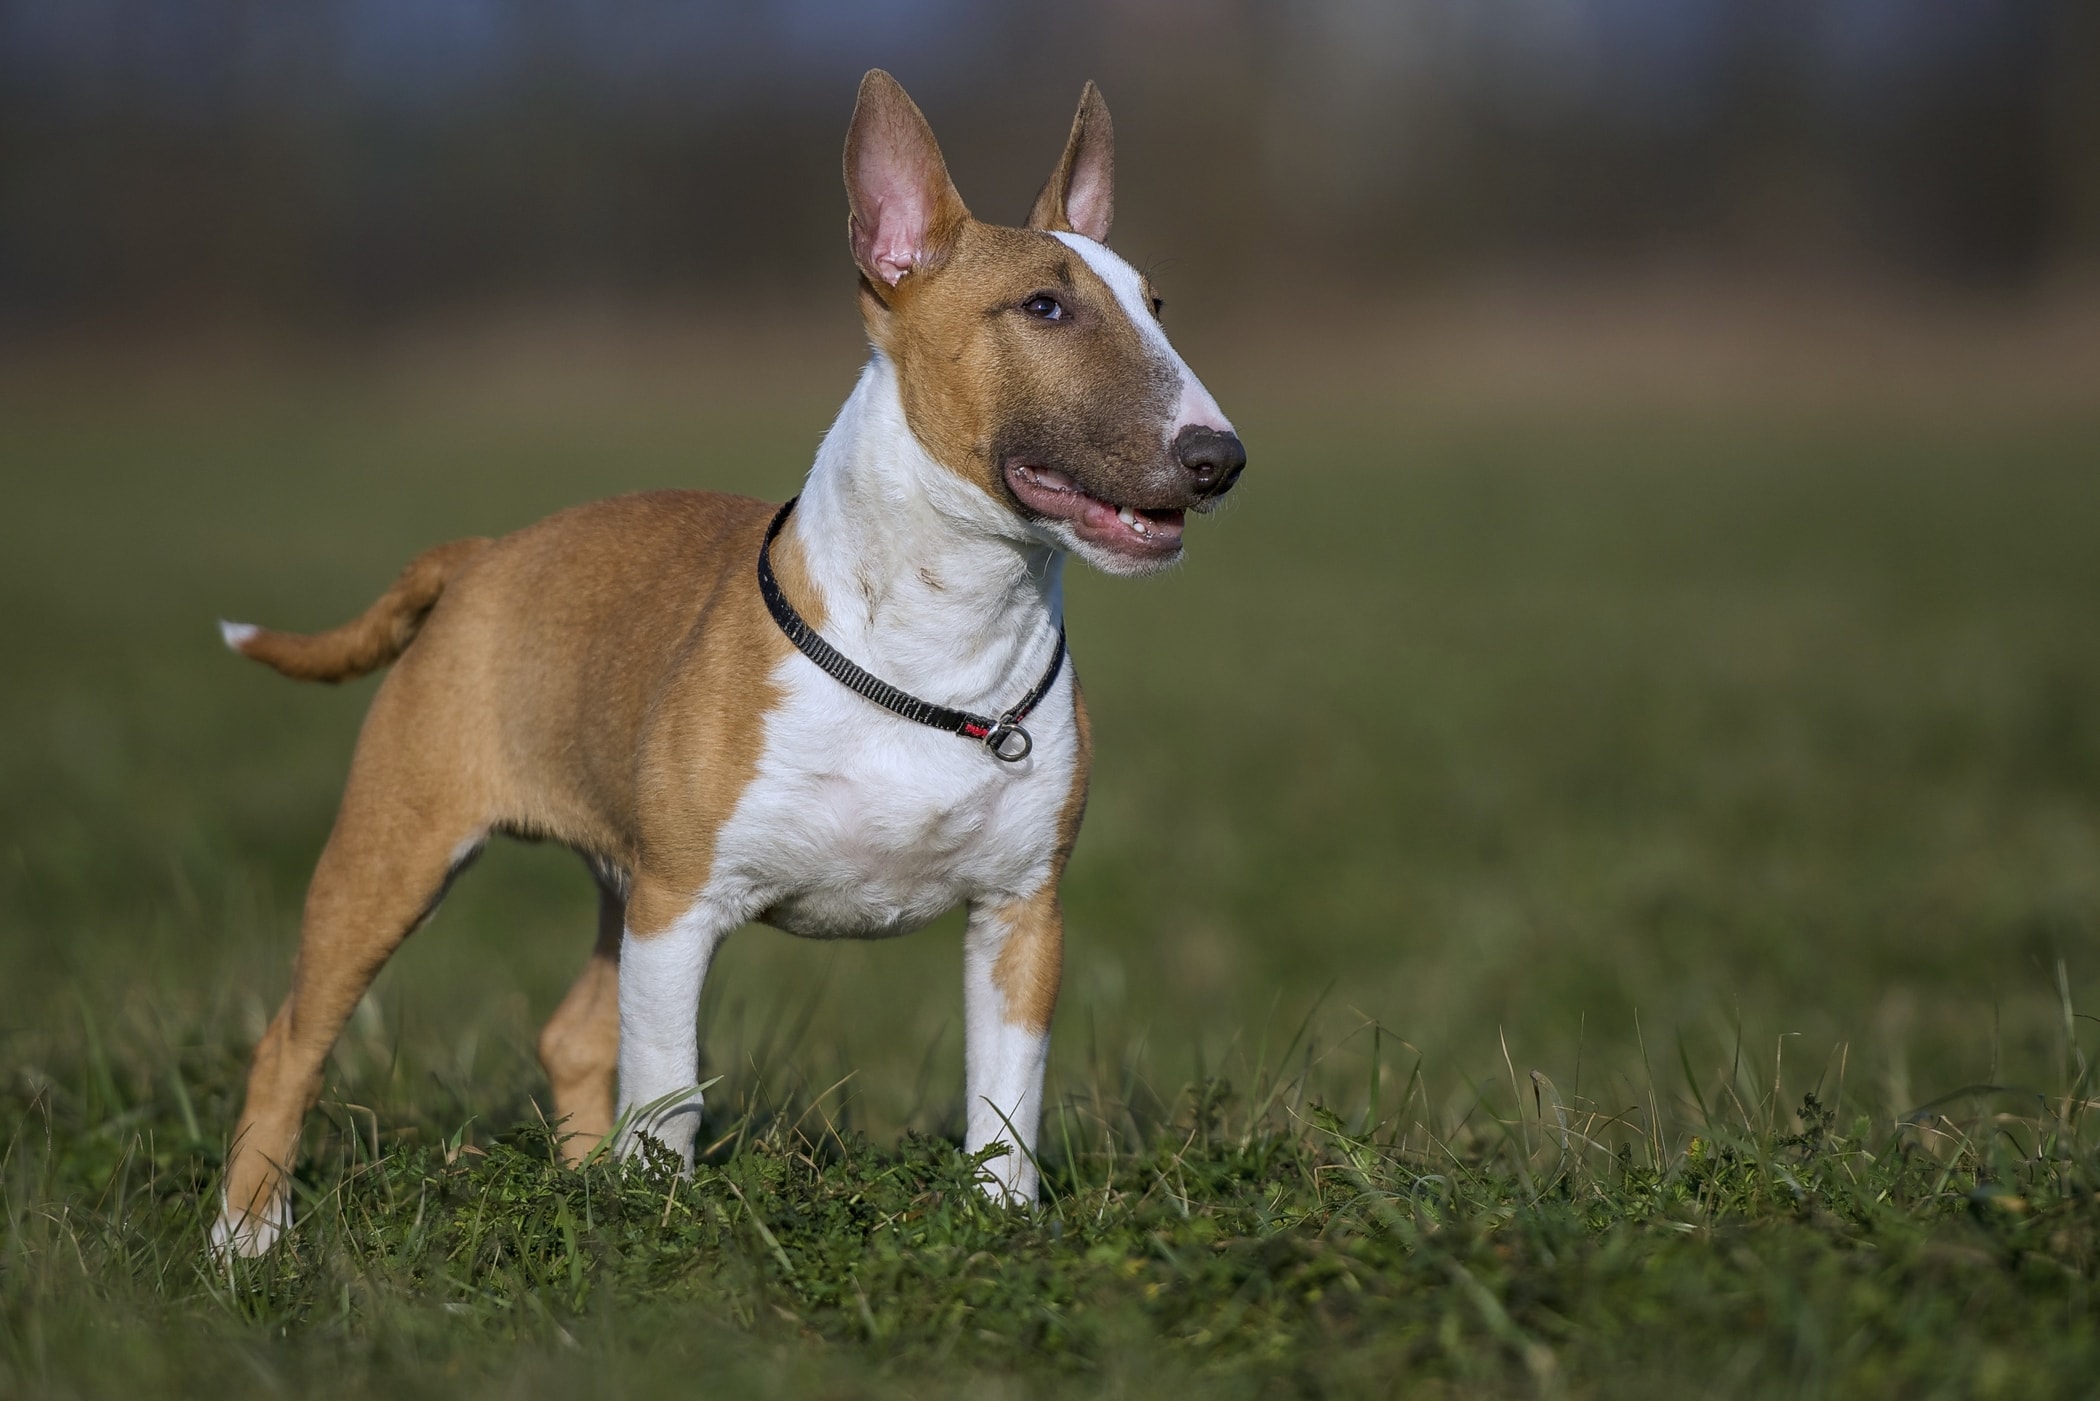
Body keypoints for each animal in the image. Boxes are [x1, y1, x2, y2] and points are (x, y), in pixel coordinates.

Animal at [208, 68, 1243, 1260]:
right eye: (1044, 308)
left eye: (1157, 306)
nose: (1220, 459)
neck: (942, 633)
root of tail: (482, 556)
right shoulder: (680, 909)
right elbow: (669, 1093)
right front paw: (662, 1229)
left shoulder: (1021, 917)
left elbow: (1004, 1100)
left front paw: (998, 1229)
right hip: (400, 848)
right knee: (292, 1036)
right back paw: (247, 1236)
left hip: (610, 880)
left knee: (571, 1034)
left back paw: (577, 1188)